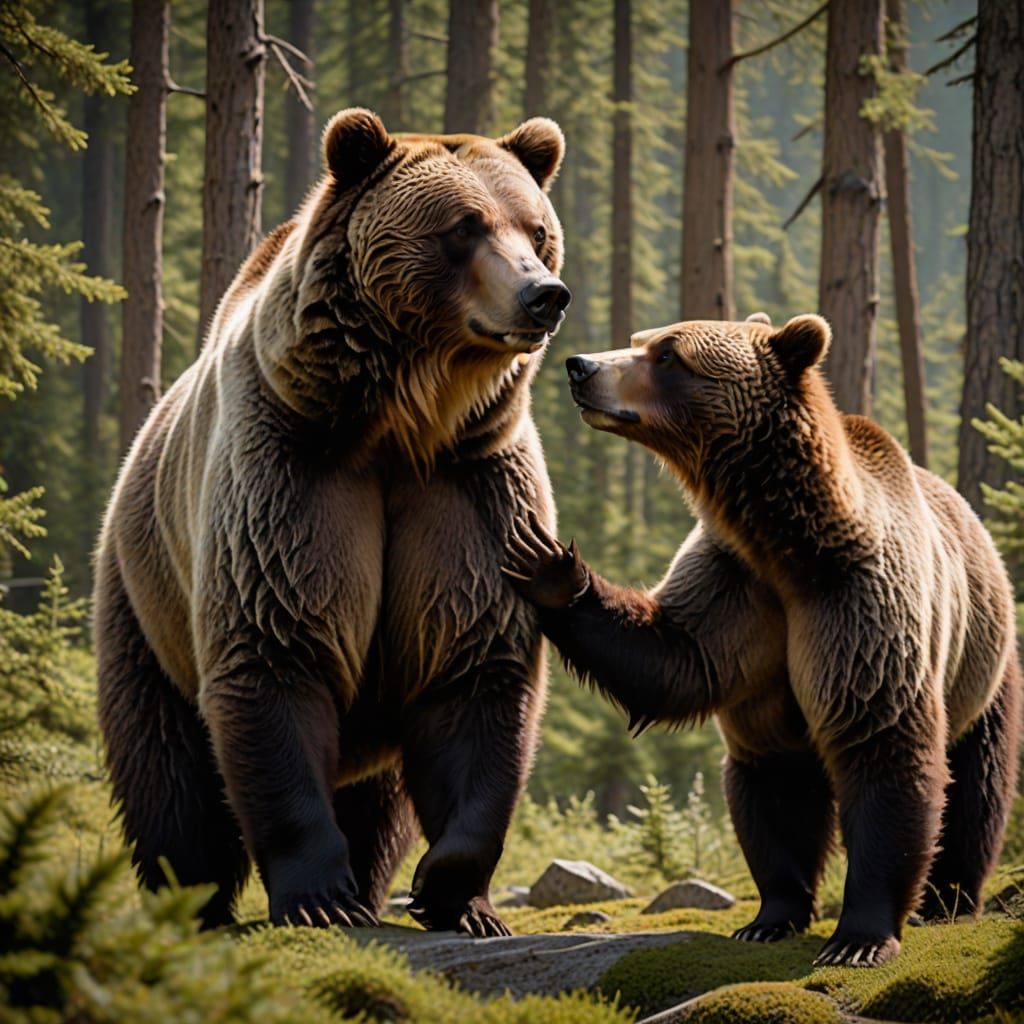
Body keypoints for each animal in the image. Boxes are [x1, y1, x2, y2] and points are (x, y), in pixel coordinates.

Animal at [93, 108, 571, 937]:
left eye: (535, 229)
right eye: (464, 226)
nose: (544, 295)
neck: (402, 418)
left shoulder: (471, 485)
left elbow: (475, 669)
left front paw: (456, 892)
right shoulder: (292, 469)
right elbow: (277, 650)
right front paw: (318, 896)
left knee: (377, 800)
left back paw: (375, 881)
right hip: (144, 594)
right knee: (166, 768)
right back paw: (192, 899)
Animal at [504, 313, 1021, 966]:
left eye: (668, 354)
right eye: (643, 338)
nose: (580, 366)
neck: (788, 543)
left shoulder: (857, 602)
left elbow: (882, 744)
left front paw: (857, 938)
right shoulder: (738, 586)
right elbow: (678, 666)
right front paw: (543, 556)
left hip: (984, 662)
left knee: (978, 784)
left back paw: (947, 899)